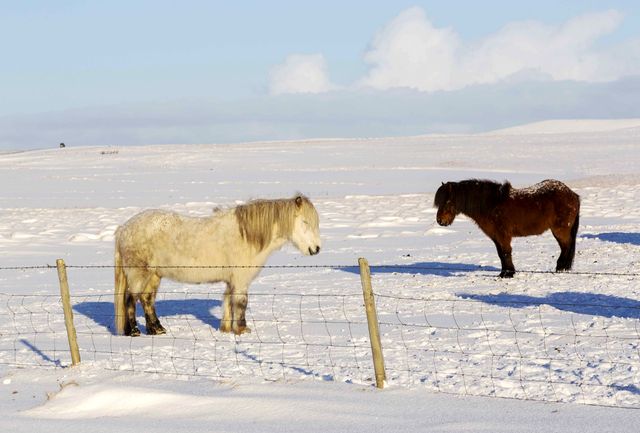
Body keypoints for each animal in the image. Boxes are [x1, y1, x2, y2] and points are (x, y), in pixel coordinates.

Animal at [114, 194, 320, 336]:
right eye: (305, 222)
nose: (316, 249)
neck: (247, 236)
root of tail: (124, 228)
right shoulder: (240, 280)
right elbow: (241, 303)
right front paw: (243, 330)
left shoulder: (231, 280)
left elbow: (228, 301)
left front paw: (226, 329)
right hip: (139, 274)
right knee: (130, 299)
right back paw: (134, 331)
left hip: (154, 275)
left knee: (147, 299)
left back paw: (157, 329)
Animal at [436, 178, 580, 276]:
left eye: (447, 201)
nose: (440, 221)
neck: (491, 205)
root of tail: (572, 194)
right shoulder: (496, 237)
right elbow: (501, 254)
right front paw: (505, 272)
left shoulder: (502, 235)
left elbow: (506, 252)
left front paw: (508, 273)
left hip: (560, 230)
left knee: (566, 247)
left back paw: (560, 268)